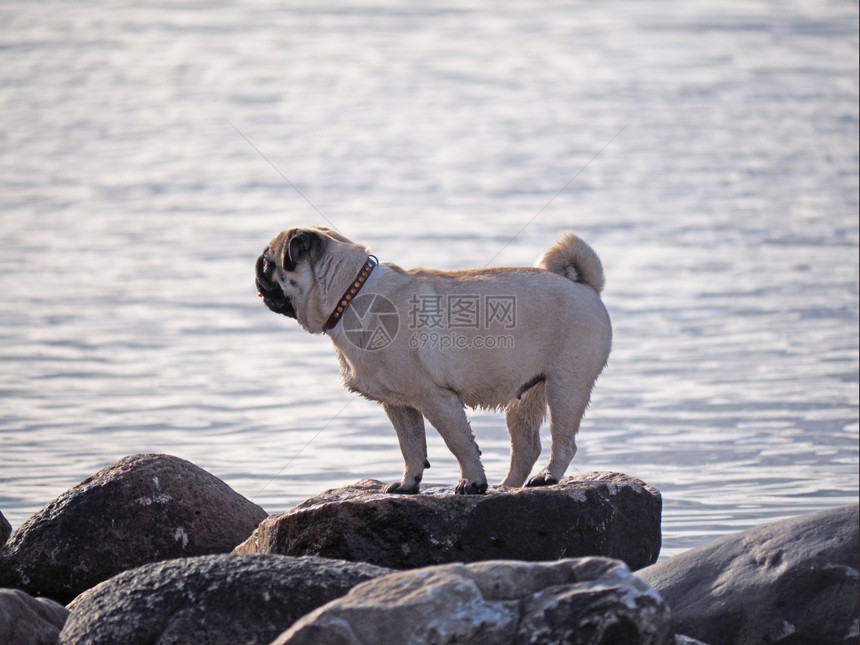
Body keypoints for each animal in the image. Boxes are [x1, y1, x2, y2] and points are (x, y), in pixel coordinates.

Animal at [255, 229, 612, 496]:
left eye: (268, 263)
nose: (256, 270)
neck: (350, 294)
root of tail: (585, 286)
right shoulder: (399, 405)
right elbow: (411, 446)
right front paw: (408, 484)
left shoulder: (437, 399)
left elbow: (460, 444)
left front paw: (472, 483)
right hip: (526, 397)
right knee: (526, 447)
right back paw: (507, 486)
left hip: (566, 387)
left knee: (564, 441)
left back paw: (548, 477)